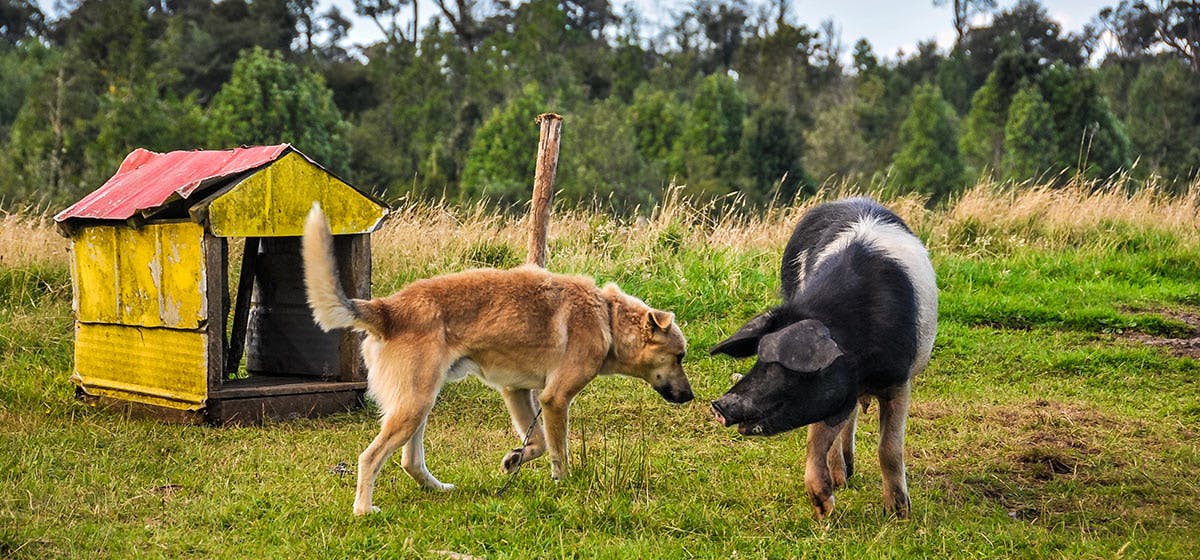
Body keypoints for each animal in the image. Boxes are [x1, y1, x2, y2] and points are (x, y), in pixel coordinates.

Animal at [300, 206, 696, 518]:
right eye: (679, 356)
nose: (691, 397)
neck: (607, 318)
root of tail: (387, 309)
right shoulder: (555, 399)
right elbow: (558, 451)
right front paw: (563, 483)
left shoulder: (517, 391)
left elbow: (536, 442)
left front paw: (515, 459)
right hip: (413, 406)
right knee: (370, 457)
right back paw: (363, 509)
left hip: (419, 404)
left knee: (409, 461)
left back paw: (437, 489)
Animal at [705, 197, 940, 522]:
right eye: (759, 358)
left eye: (785, 369)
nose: (718, 405)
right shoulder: (830, 397)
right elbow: (815, 441)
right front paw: (824, 510)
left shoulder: (897, 380)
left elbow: (890, 448)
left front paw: (898, 513)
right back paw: (842, 478)